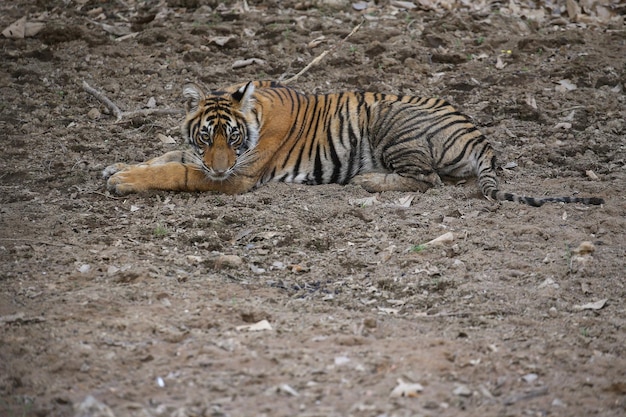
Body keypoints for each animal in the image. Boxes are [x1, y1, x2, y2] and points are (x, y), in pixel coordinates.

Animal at [103, 79, 604, 206]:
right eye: (207, 136)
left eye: (234, 138)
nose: (221, 166)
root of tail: (482, 138)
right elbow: (173, 155)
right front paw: (117, 167)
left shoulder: (238, 177)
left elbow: (179, 171)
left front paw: (122, 180)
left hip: (388, 117)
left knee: (429, 181)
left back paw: (367, 182)